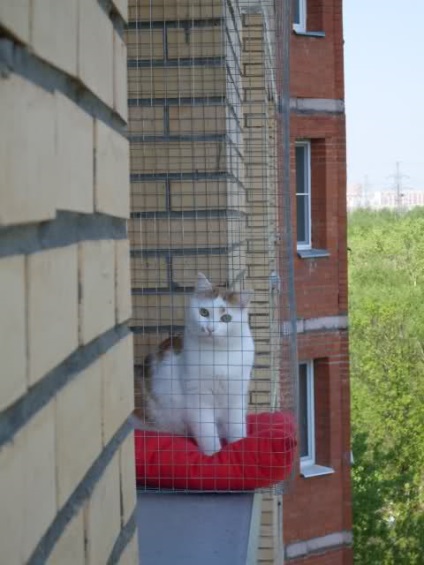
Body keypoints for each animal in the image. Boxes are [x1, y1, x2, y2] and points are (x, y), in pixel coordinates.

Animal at [136, 272, 255, 454]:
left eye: (226, 318)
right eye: (204, 312)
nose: (210, 329)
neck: (219, 354)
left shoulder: (237, 395)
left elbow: (237, 427)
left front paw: (239, 446)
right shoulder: (198, 399)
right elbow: (208, 434)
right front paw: (214, 455)